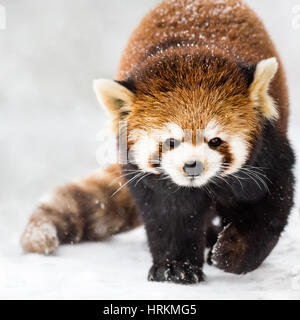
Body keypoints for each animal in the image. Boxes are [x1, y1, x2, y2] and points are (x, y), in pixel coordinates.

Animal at [22, 0, 294, 284]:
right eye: (171, 141)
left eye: (215, 140)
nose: (192, 166)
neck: (191, 48)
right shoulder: (151, 181)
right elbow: (169, 215)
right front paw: (176, 267)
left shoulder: (266, 154)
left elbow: (267, 209)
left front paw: (232, 251)